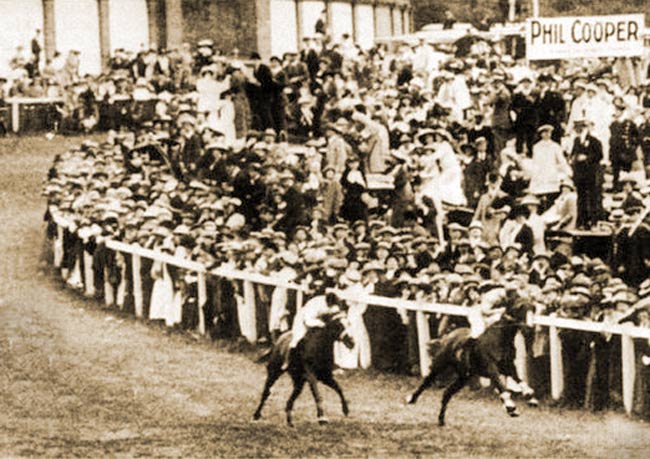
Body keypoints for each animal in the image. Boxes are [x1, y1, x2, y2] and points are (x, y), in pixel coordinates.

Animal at [404, 302, 536, 428]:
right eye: (520, 309)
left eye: (533, 310)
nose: (530, 329)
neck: (499, 340)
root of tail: (447, 336)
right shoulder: (491, 368)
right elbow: (501, 386)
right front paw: (511, 407)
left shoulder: (508, 367)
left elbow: (520, 380)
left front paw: (530, 396)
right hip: (440, 365)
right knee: (426, 381)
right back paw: (411, 398)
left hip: (464, 377)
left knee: (447, 393)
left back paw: (441, 420)